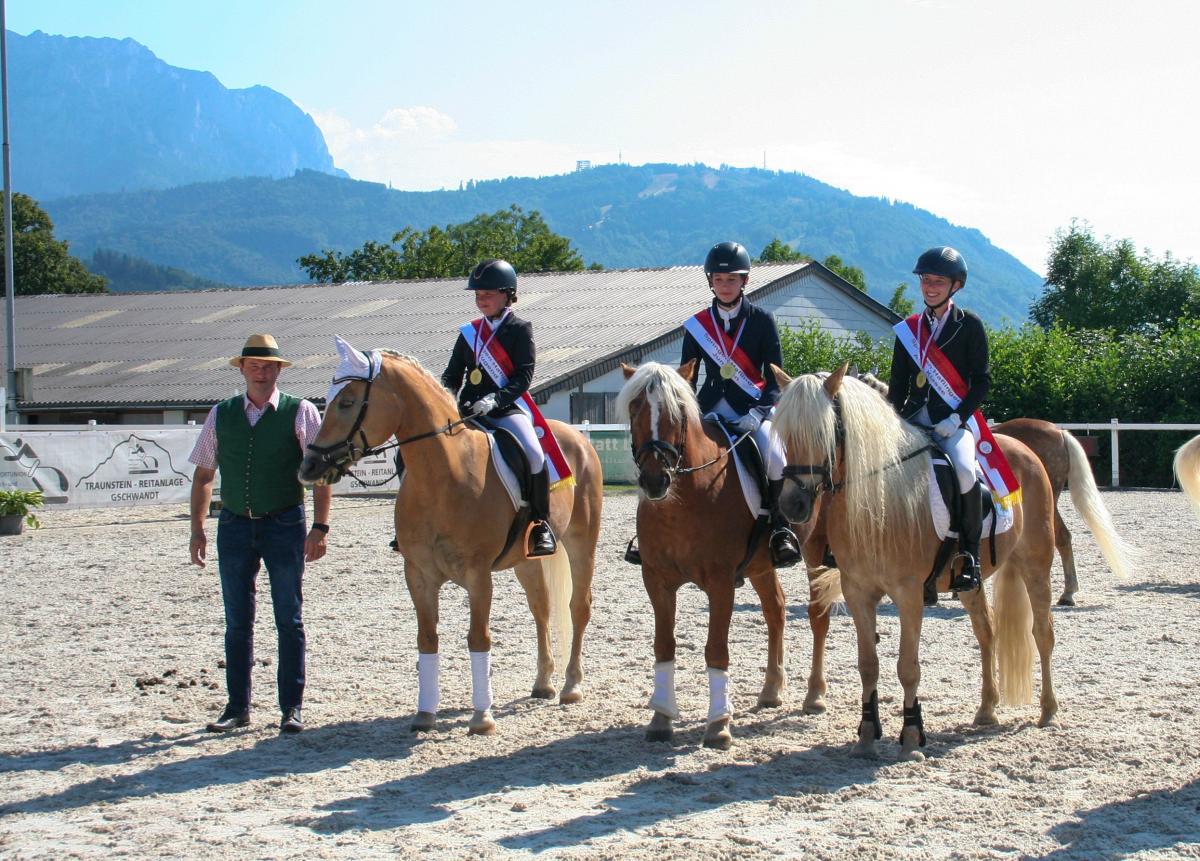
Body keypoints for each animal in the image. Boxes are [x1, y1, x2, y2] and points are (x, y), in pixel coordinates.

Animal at [296, 350, 604, 733]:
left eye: (348, 402)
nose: (309, 466)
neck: (443, 476)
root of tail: (577, 436)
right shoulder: (418, 575)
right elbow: (427, 638)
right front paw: (424, 714)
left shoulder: (478, 575)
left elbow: (478, 637)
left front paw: (482, 717)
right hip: (526, 560)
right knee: (541, 609)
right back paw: (543, 683)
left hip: (581, 543)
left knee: (578, 606)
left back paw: (571, 685)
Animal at [619, 359, 816, 753]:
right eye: (634, 409)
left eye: (678, 413)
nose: (655, 481)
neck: (681, 503)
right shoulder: (656, 581)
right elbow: (663, 646)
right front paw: (661, 718)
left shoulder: (721, 583)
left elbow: (716, 650)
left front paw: (719, 725)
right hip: (761, 566)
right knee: (776, 609)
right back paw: (772, 690)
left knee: (820, 616)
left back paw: (816, 697)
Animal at [768, 364, 1060, 762]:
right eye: (783, 434)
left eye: (826, 432)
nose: (792, 505)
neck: (880, 499)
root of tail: (1021, 448)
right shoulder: (858, 592)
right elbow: (868, 665)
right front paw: (866, 735)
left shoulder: (908, 595)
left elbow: (907, 667)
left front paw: (910, 736)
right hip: (969, 582)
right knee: (987, 632)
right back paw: (987, 709)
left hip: (1036, 563)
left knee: (1042, 633)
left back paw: (1048, 711)